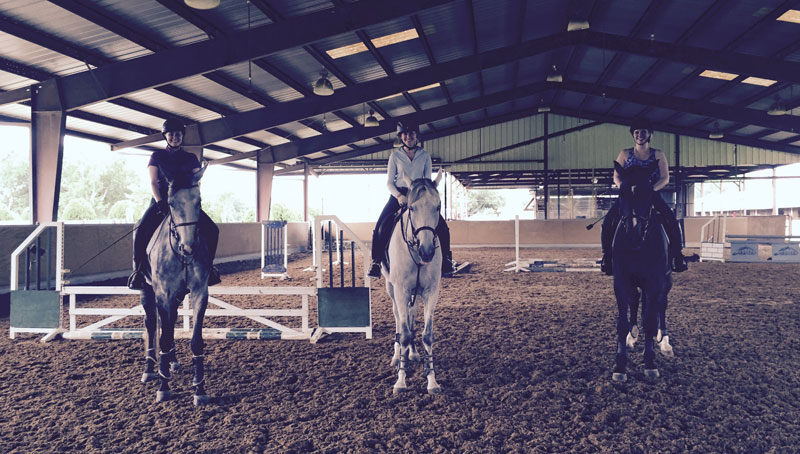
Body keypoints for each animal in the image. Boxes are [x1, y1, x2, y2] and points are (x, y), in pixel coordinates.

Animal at [141, 163, 211, 404]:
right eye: (171, 203)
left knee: (169, 323)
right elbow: (162, 337)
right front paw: (163, 387)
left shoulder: (199, 293)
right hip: (148, 291)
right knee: (152, 324)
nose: (188, 248)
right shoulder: (163, 293)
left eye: (199, 201)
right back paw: (150, 369)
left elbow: (196, 340)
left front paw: (199, 389)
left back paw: (171, 362)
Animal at [382, 170, 444, 394]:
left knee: (411, 315)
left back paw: (413, 353)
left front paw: (431, 380)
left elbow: (427, 334)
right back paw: (396, 356)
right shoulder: (400, 290)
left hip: (414, 293)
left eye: (438, 206)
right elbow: (405, 333)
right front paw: (401, 380)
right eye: (411, 207)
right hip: (391, 288)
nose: (427, 251)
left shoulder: (431, 291)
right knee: (398, 319)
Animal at [608, 161, 672, 382]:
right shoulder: (620, 280)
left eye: (649, 193)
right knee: (635, 301)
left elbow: (651, 321)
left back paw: (665, 342)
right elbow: (622, 322)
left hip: (666, 283)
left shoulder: (655, 282)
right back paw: (632, 335)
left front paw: (650, 364)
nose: (633, 234)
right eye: (621, 193)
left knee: (661, 306)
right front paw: (620, 366)